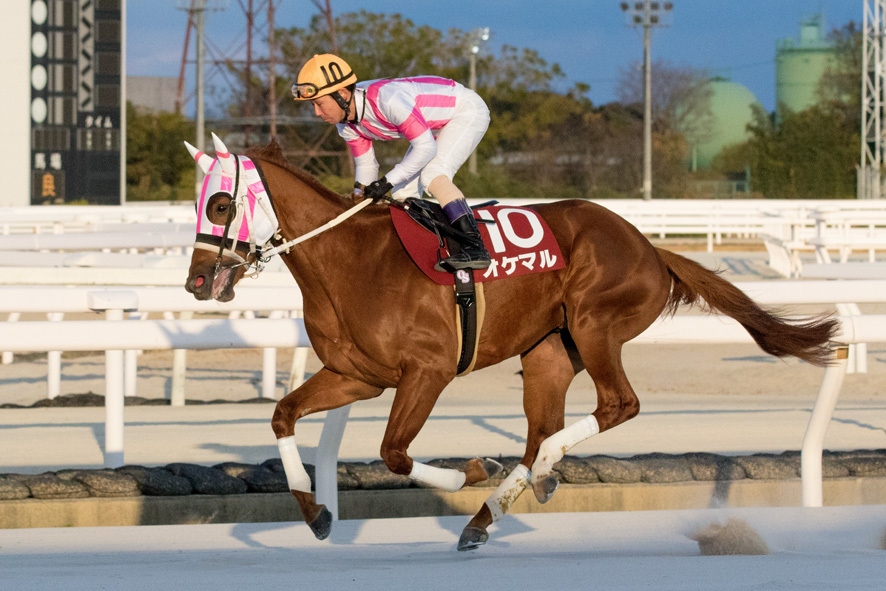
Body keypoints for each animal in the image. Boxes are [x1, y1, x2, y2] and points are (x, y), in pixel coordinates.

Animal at [186, 134, 840, 552]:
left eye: (219, 203)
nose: (196, 282)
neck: (350, 262)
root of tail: (651, 248)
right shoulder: (357, 376)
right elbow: (282, 415)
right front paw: (317, 514)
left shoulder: (427, 371)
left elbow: (394, 452)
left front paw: (471, 470)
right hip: (550, 349)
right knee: (542, 429)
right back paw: (496, 508)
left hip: (595, 324)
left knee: (615, 406)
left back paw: (535, 474)